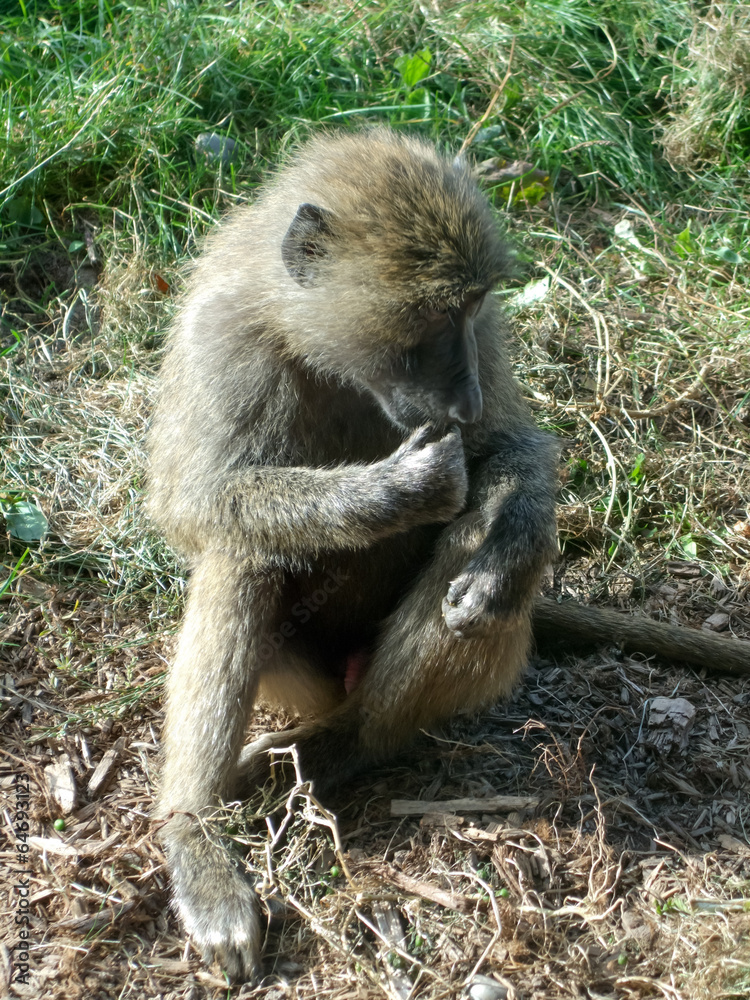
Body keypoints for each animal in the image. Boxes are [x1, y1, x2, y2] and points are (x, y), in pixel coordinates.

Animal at [146, 128, 561, 981]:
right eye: (431, 317)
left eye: (472, 308)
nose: (463, 402)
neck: (311, 342)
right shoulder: (218, 340)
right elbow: (188, 504)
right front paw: (395, 489)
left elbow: (510, 451)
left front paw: (507, 551)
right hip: (300, 676)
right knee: (243, 557)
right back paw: (197, 838)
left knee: (468, 548)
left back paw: (344, 746)